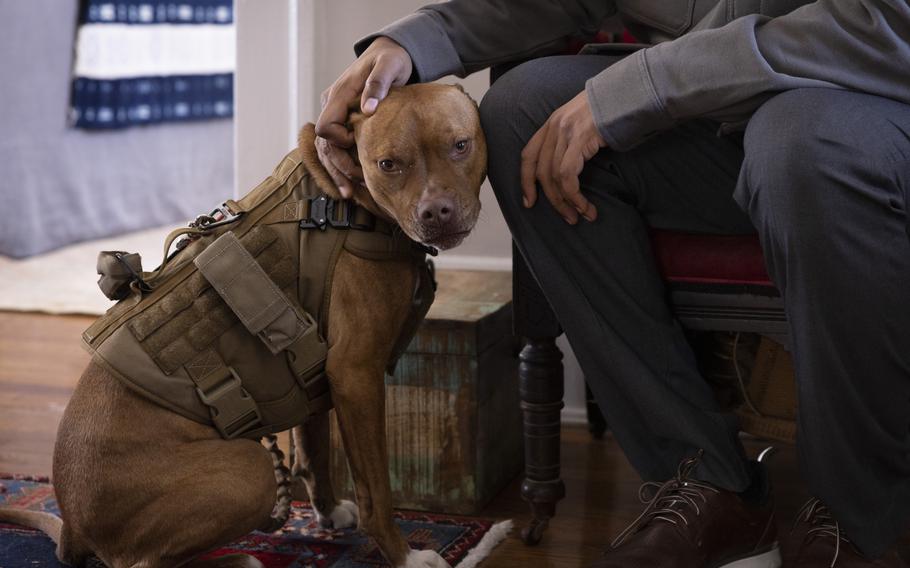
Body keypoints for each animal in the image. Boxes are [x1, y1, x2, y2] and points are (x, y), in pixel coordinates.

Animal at [3, 84, 488, 568]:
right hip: (248, 470)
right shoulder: (356, 375)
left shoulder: (320, 371)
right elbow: (376, 489)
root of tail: (72, 527)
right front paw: (405, 555)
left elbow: (314, 451)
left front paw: (328, 513)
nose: (436, 212)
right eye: (389, 164)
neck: (341, 203)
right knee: (142, 562)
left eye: (460, 145)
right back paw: (238, 559)